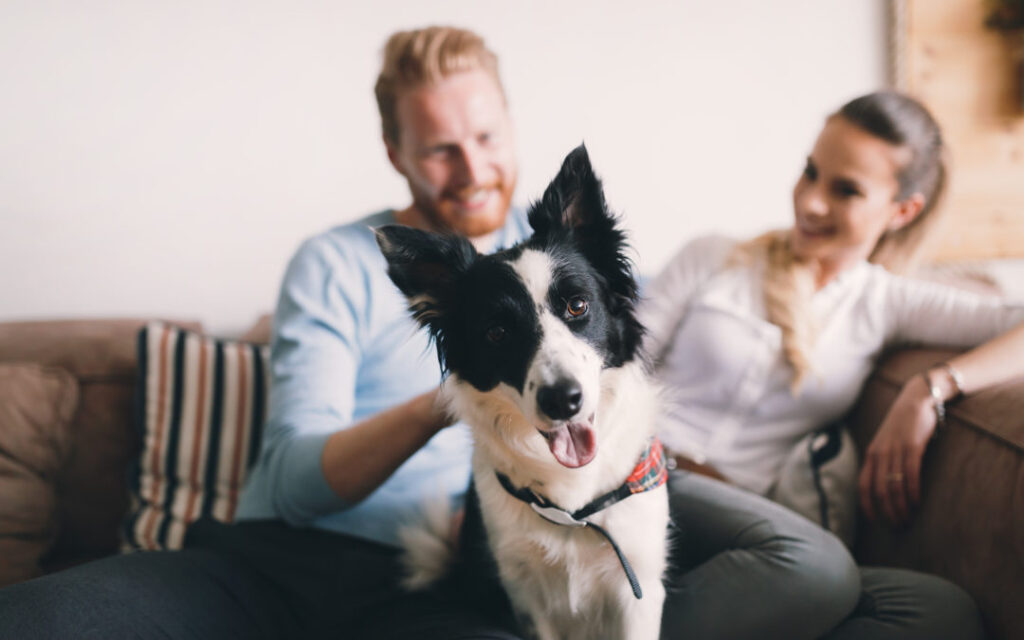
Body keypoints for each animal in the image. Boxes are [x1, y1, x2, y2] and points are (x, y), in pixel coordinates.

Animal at [380, 146, 667, 638]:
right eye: (496, 333)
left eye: (577, 305)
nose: (563, 400)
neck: (573, 505)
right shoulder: (524, 593)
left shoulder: (639, 588)